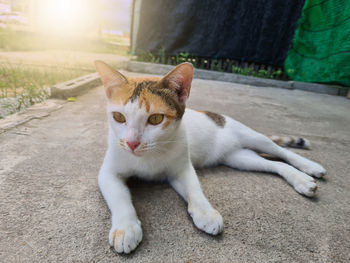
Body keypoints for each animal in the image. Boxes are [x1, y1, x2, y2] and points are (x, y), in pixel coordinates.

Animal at [93, 60, 326, 255]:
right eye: (119, 117)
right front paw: (125, 228)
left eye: (156, 119)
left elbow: (194, 190)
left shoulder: (182, 168)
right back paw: (299, 179)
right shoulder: (108, 173)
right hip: (239, 158)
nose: (131, 143)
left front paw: (205, 213)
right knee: (272, 164)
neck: (149, 155)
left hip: (250, 136)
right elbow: (119, 197)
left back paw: (309, 168)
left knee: (280, 151)